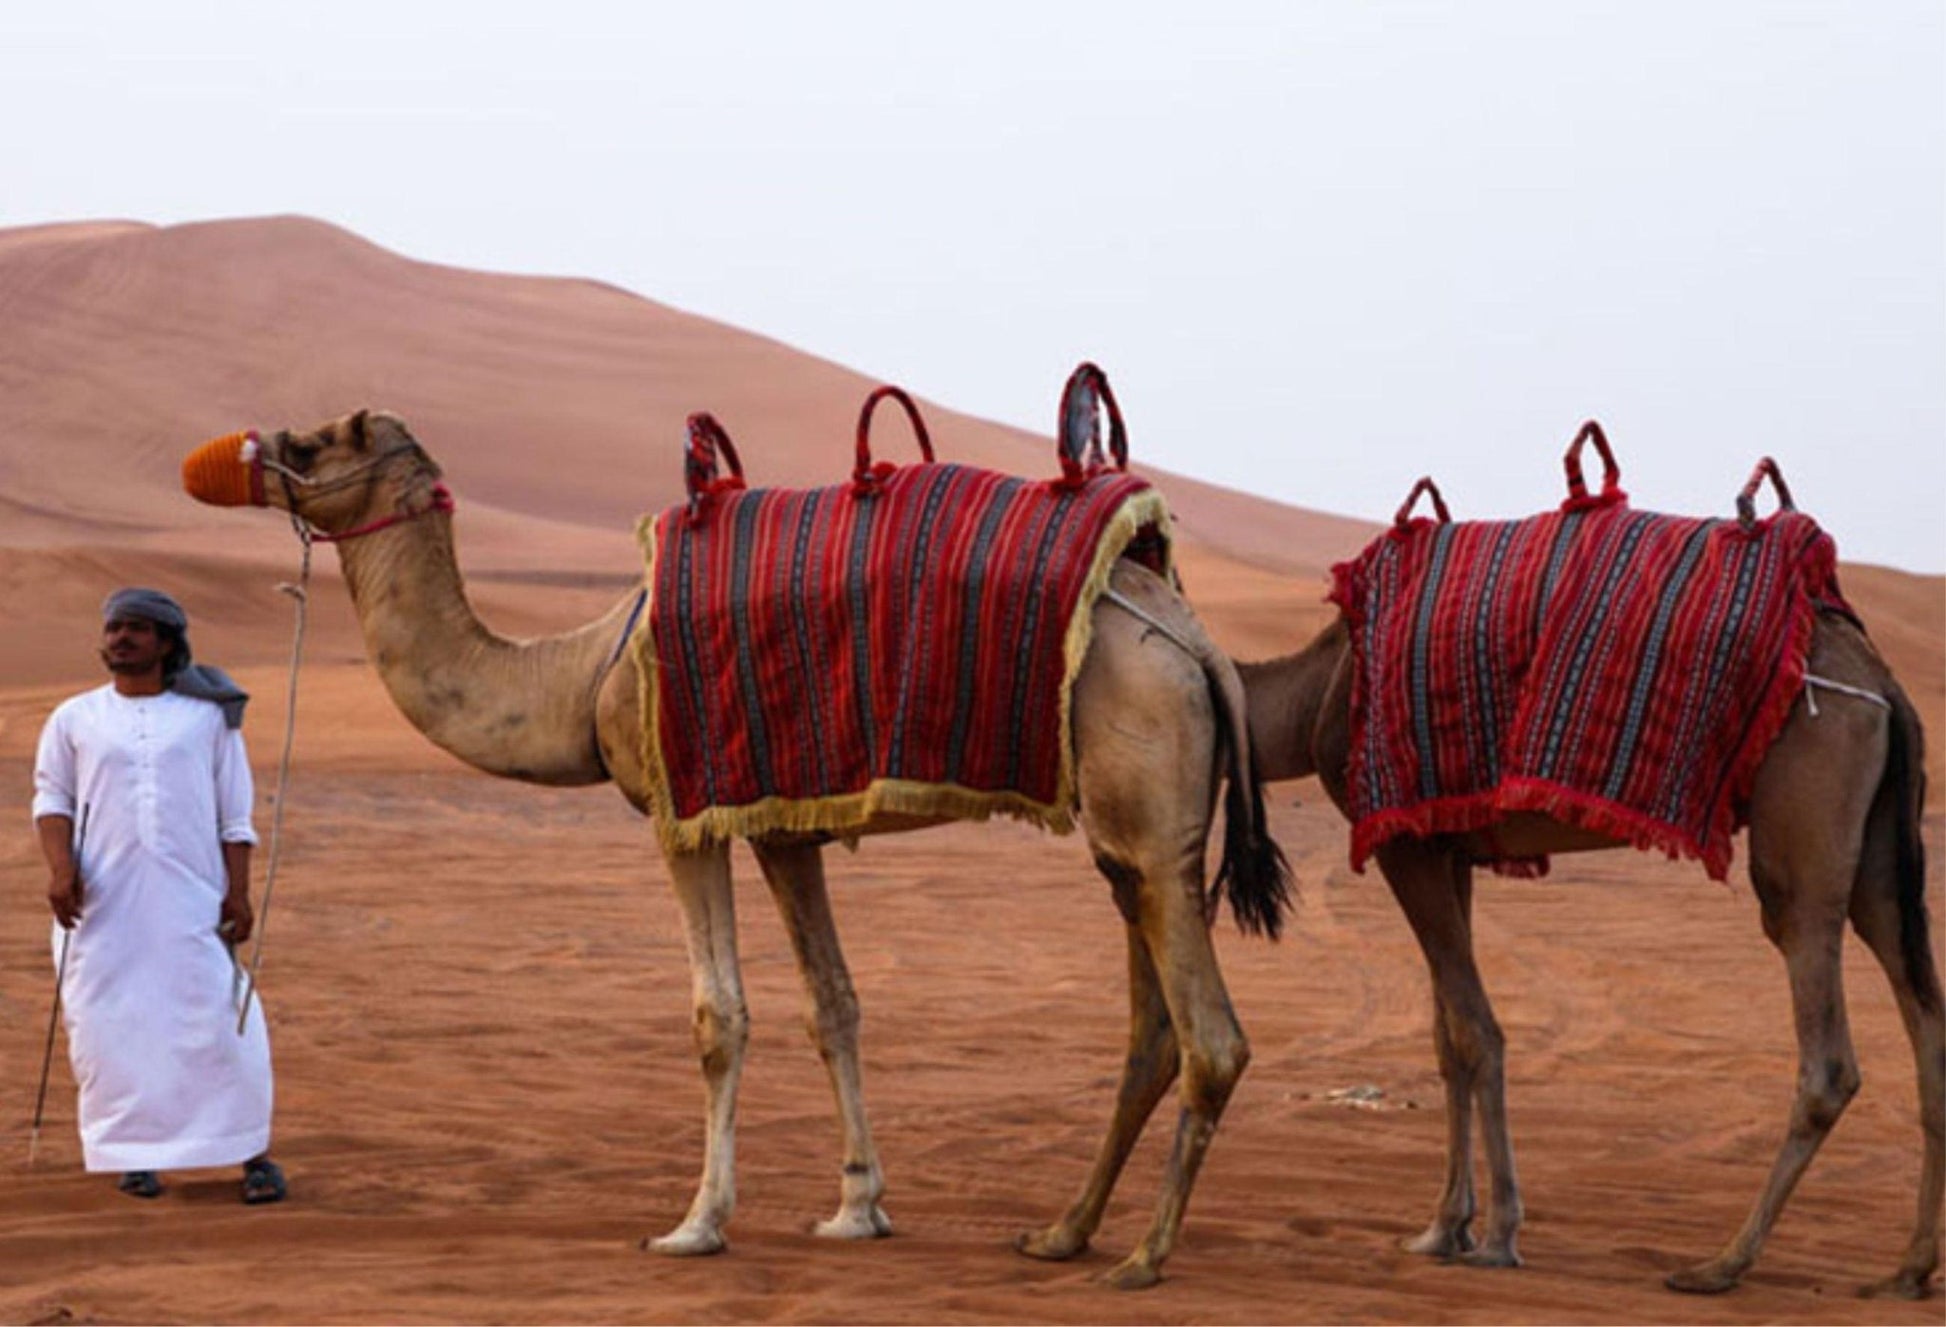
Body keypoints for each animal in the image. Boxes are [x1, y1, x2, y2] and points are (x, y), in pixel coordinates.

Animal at [181, 407, 1291, 1290]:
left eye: (316, 442)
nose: (236, 453)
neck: (584, 672)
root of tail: (1193, 639)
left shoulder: (683, 812)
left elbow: (720, 1016)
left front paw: (694, 1223)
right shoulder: (778, 822)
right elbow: (832, 1000)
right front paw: (857, 1207)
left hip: (1149, 808)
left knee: (1213, 1038)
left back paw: (1141, 1257)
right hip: (1134, 842)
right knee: (1151, 1028)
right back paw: (1062, 1232)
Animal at [1239, 600, 1942, 1297]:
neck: (1315, 690)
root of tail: (1884, 685)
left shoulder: (1403, 842)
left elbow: (1476, 1032)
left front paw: (1497, 1235)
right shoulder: (1447, 845)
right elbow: (1447, 1040)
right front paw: (1443, 1227)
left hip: (1807, 806)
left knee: (1822, 1036)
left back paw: (1722, 1264)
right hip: (1877, 851)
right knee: (1917, 1002)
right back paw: (1908, 1267)